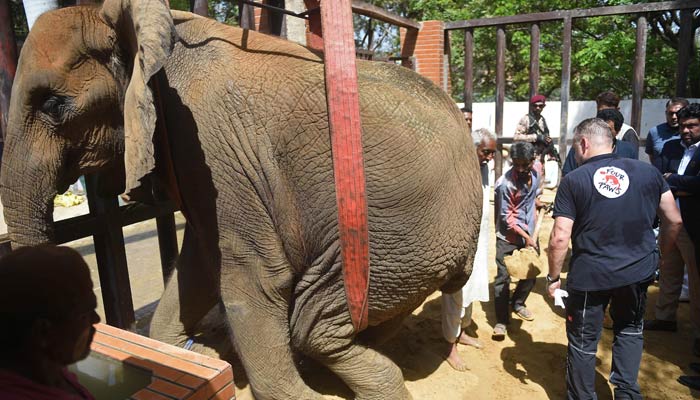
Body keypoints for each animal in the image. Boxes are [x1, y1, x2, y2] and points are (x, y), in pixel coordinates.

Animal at [0, 1, 482, 398]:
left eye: (54, 106)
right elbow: (197, 262)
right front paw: (192, 357)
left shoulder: (212, 147)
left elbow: (251, 277)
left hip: (396, 239)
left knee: (311, 324)